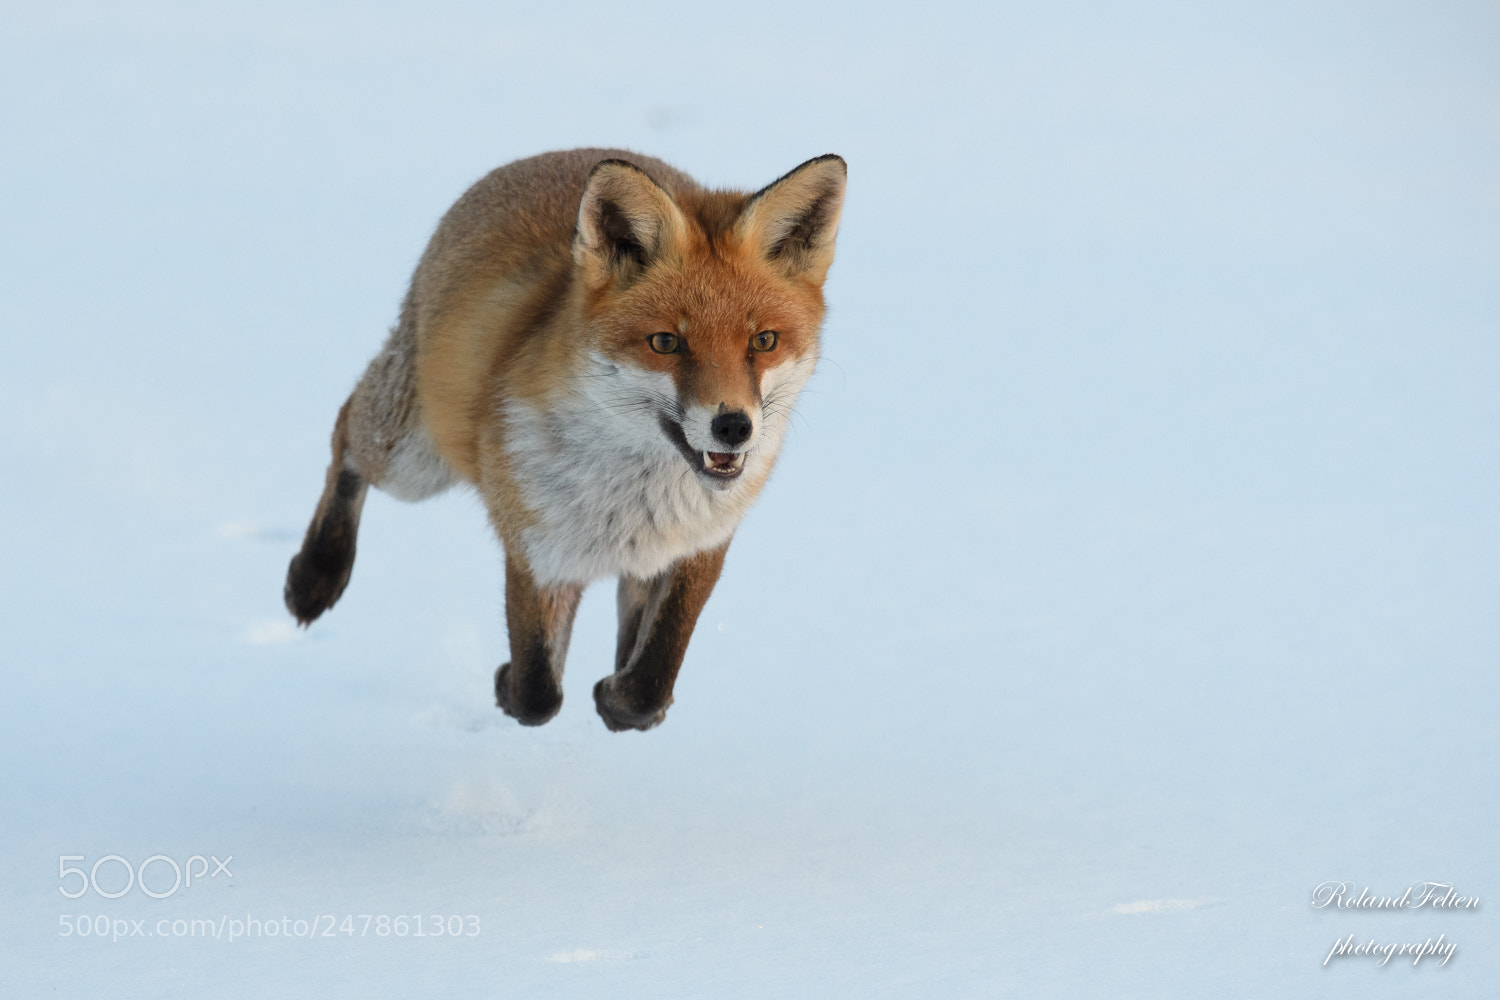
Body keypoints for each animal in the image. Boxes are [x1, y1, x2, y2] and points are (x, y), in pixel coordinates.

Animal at [283, 148, 846, 731]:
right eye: (666, 343)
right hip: (413, 461)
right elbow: (538, 690)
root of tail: (547, 156)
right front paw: (511, 688)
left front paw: (623, 704)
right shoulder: (535, 549)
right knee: (346, 432)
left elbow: (653, 673)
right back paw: (316, 575)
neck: (637, 501)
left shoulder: (698, 549)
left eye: (764, 341)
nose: (733, 426)